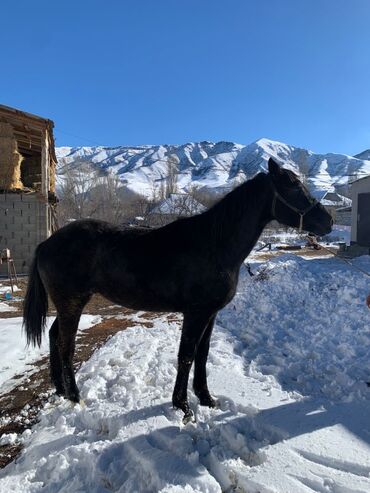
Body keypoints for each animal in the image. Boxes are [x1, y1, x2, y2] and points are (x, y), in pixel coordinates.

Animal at [24, 159, 334, 418]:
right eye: (293, 185)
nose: (328, 221)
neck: (214, 245)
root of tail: (46, 243)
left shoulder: (210, 314)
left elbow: (202, 355)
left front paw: (206, 399)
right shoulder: (195, 313)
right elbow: (186, 355)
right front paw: (183, 406)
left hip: (68, 304)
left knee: (54, 337)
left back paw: (61, 390)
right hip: (72, 303)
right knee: (66, 346)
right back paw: (76, 398)